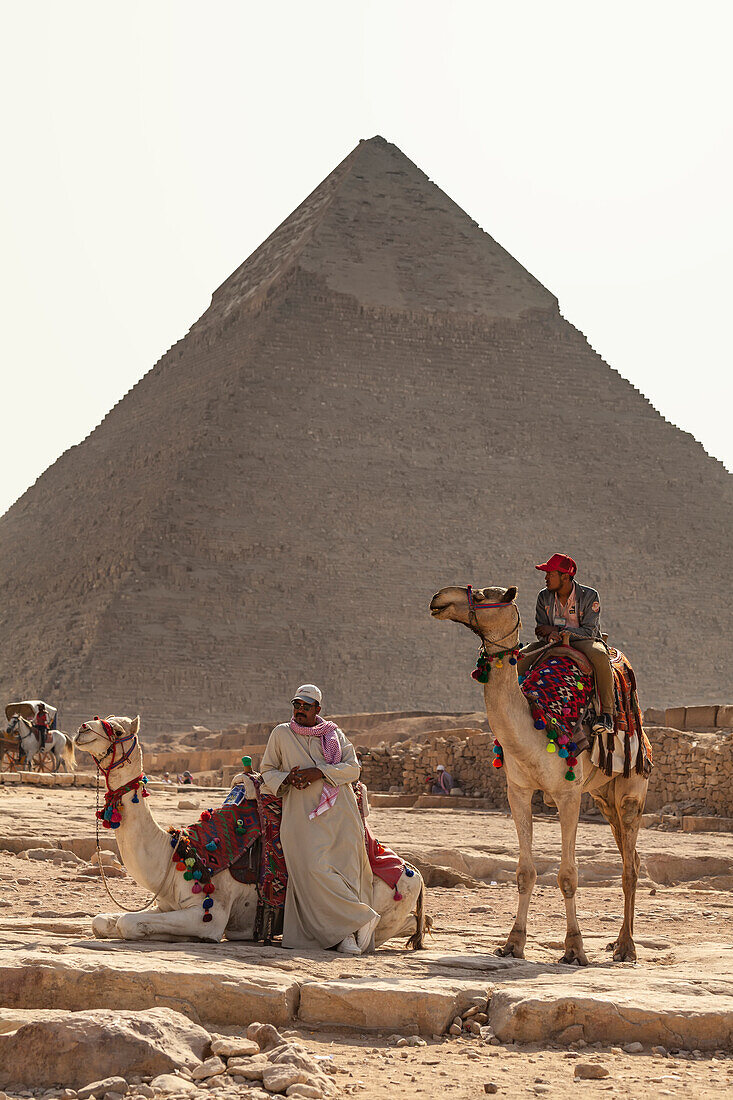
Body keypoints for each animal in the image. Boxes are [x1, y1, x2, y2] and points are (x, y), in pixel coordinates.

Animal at [72, 712, 429, 946]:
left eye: (117, 728)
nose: (82, 728)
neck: (180, 854)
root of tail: (415, 873)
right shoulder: (168, 903)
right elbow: (102, 921)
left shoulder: (210, 913)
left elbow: (128, 923)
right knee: (411, 922)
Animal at [429, 585, 647, 963]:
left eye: (484, 595)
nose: (439, 598)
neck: (540, 721)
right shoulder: (518, 790)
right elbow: (524, 872)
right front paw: (512, 944)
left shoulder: (568, 794)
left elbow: (568, 875)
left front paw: (575, 949)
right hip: (603, 796)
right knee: (628, 855)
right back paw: (618, 942)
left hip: (632, 784)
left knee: (629, 866)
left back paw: (626, 947)